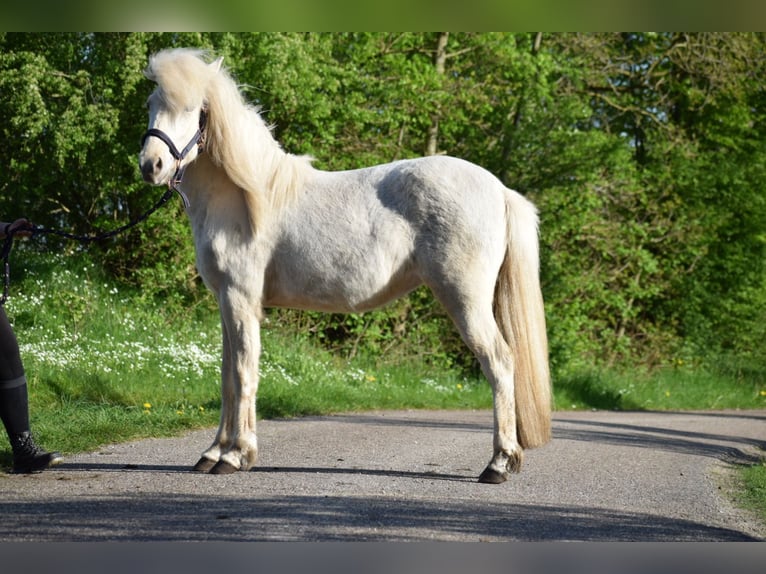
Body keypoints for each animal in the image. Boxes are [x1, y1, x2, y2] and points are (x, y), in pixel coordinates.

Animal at [136, 48, 544, 486]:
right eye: (151, 104)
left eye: (191, 108)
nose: (151, 165)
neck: (244, 198)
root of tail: (499, 190)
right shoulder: (227, 305)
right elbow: (228, 379)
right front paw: (213, 452)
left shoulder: (240, 300)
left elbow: (244, 375)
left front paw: (235, 456)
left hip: (466, 300)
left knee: (500, 363)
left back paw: (498, 463)